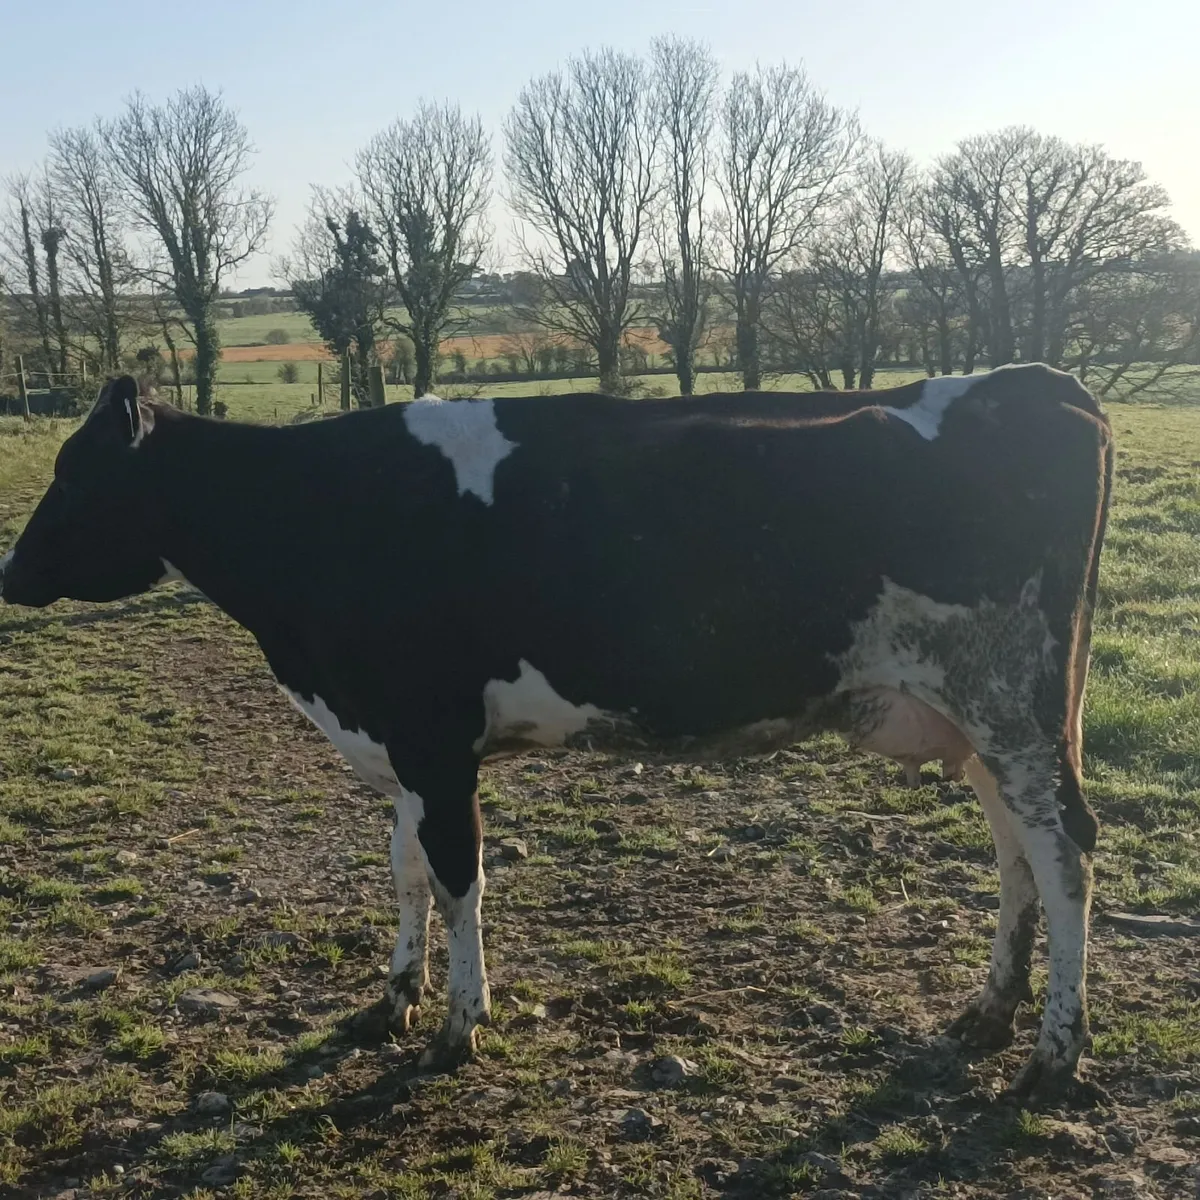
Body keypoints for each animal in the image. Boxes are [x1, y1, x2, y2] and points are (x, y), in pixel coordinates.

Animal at [0, 366, 1113, 1100]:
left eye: (77, 473)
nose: (9, 574)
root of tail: (1034, 382)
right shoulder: (402, 747)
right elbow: (403, 867)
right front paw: (394, 997)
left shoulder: (432, 741)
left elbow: (458, 879)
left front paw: (458, 1025)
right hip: (983, 716)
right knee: (1015, 850)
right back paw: (990, 1011)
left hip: (1012, 696)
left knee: (1064, 848)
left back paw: (1053, 1053)